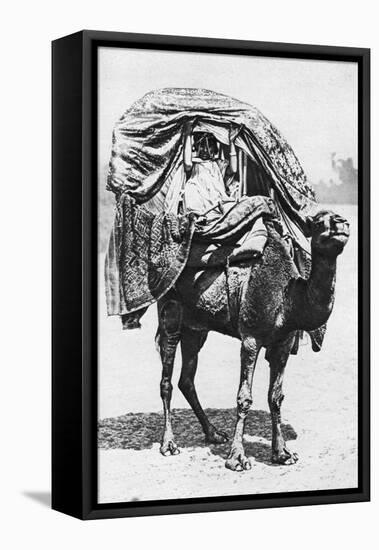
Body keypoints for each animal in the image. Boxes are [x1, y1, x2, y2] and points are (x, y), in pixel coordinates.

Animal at [155, 210, 350, 470]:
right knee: (166, 375)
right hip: (171, 311)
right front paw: (237, 458)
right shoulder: (251, 338)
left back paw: (213, 433)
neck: (289, 298)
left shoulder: (283, 343)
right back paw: (169, 444)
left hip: (196, 328)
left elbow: (276, 397)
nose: (342, 223)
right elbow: (244, 397)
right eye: (319, 221)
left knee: (186, 378)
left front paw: (283, 453)